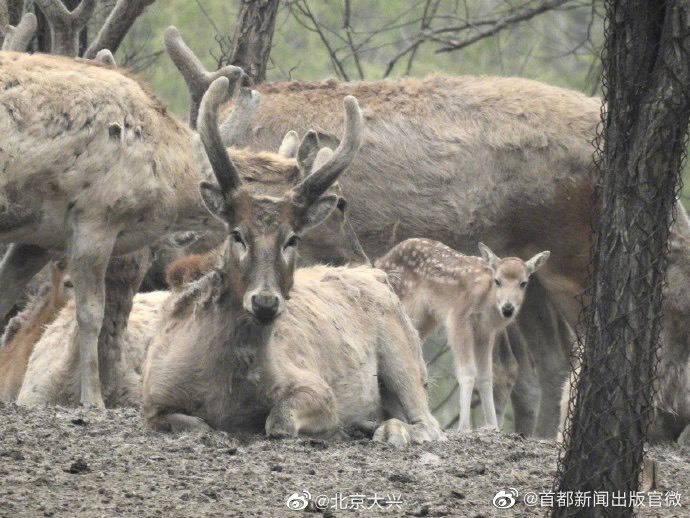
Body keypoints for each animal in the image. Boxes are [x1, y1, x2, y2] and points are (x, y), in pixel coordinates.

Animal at [141, 77, 440, 446]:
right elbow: (193, 424)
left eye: (292, 238)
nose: (265, 302)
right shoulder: (151, 396)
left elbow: (279, 421)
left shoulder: (315, 387)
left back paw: (388, 430)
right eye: (237, 234)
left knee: (428, 422)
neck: (226, 390)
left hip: (403, 353)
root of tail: (376, 276)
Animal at [376, 241, 548, 434]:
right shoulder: (458, 320)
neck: (486, 302)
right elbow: (467, 373)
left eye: (523, 283)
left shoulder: (485, 332)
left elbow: (486, 376)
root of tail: (380, 260)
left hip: (427, 318)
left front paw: (492, 425)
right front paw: (464, 427)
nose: (508, 308)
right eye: (498, 281)